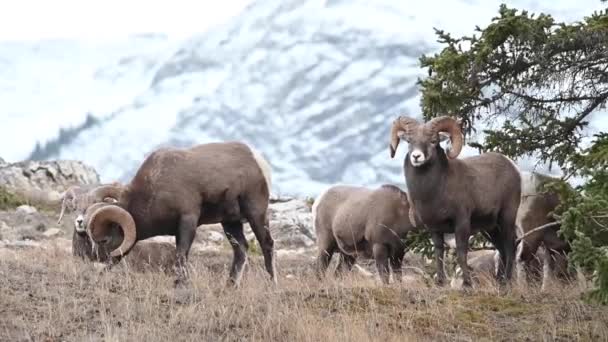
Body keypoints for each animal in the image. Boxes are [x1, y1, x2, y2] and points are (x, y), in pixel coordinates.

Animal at [81, 140, 276, 288]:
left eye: (104, 240)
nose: (95, 261)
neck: (155, 188)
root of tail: (258, 160)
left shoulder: (187, 220)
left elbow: (181, 255)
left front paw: (180, 284)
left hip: (256, 214)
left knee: (267, 245)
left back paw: (271, 284)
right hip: (230, 222)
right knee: (241, 249)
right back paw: (230, 286)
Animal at [392, 115, 520, 288]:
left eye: (433, 141)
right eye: (409, 141)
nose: (416, 157)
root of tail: (513, 168)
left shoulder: (461, 224)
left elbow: (461, 253)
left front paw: (467, 283)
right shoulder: (435, 229)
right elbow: (439, 253)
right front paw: (440, 282)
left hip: (506, 219)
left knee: (510, 247)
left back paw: (506, 282)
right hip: (491, 229)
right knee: (502, 250)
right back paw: (500, 282)